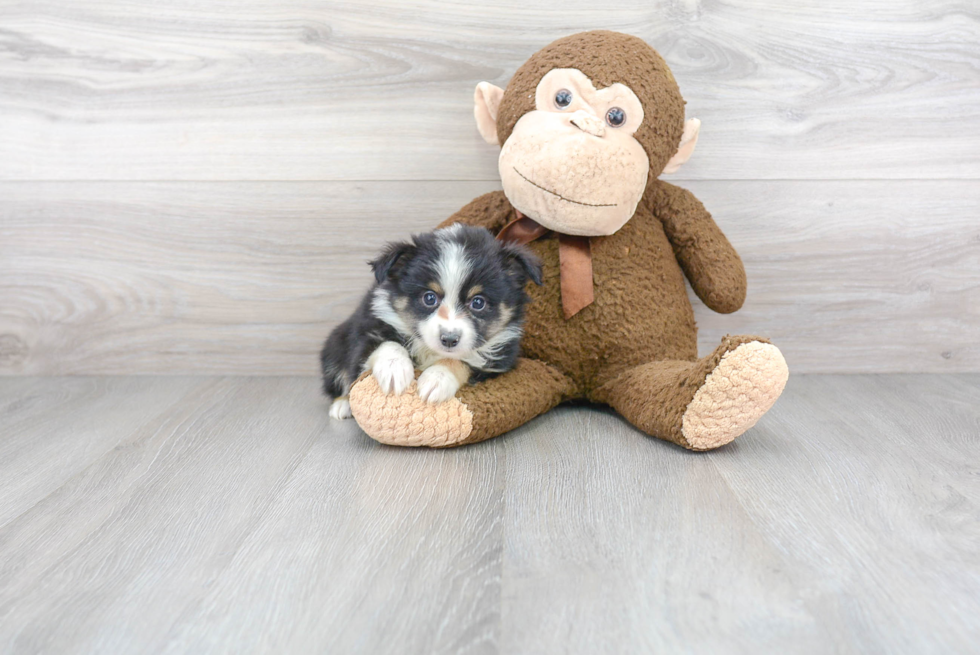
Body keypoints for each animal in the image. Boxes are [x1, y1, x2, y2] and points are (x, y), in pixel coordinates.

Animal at [322, 226, 544, 420]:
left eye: (478, 302)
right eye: (429, 298)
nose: (449, 339)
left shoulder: (498, 362)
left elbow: (460, 361)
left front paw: (436, 379)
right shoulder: (367, 332)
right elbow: (386, 344)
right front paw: (394, 370)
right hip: (335, 345)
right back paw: (342, 405)